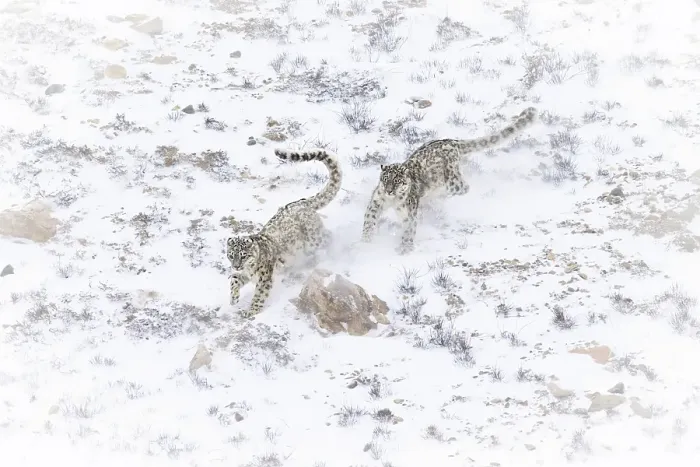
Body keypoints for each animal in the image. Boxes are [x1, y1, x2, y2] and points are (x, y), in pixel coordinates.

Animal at [226, 148, 342, 318]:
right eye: (231, 255)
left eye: (244, 255)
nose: (236, 265)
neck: (248, 270)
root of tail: (301, 202)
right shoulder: (244, 275)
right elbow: (234, 279)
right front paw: (233, 299)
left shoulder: (264, 278)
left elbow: (259, 295)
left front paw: (252, 311)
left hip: (314, 240)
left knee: (329, 237)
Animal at [361, 106, 538, 254]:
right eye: (385, 179)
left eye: (397, 180)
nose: (389, 190)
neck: (392, 202)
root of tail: (453, 142)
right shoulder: (377, 202)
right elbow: (369, 220)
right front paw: (366, 241)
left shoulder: (408, 213)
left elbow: (409, 229)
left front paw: (404, 248)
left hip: (453, 182)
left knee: (464, 187)